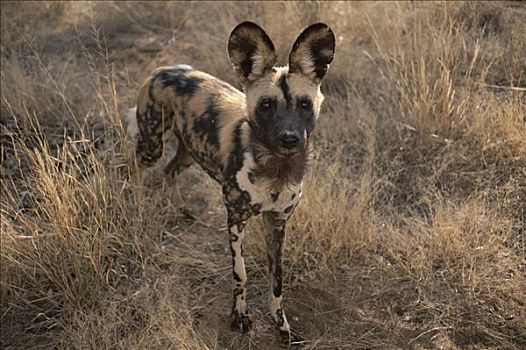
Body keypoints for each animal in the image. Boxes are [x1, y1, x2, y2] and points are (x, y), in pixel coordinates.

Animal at [130, 21, 336, 342]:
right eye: (267, 105)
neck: (275, 168)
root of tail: (165, 68)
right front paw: (239, 317)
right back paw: (133, 204)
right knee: (132, 171)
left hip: (187, 154)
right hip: (151, 147)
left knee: (167, 175)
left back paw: (174, 210)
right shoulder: (235, 220)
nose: (290, 139)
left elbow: (277, 282)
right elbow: (241, 272)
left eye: (304, 105)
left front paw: (281, 326)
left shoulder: (277, 223)